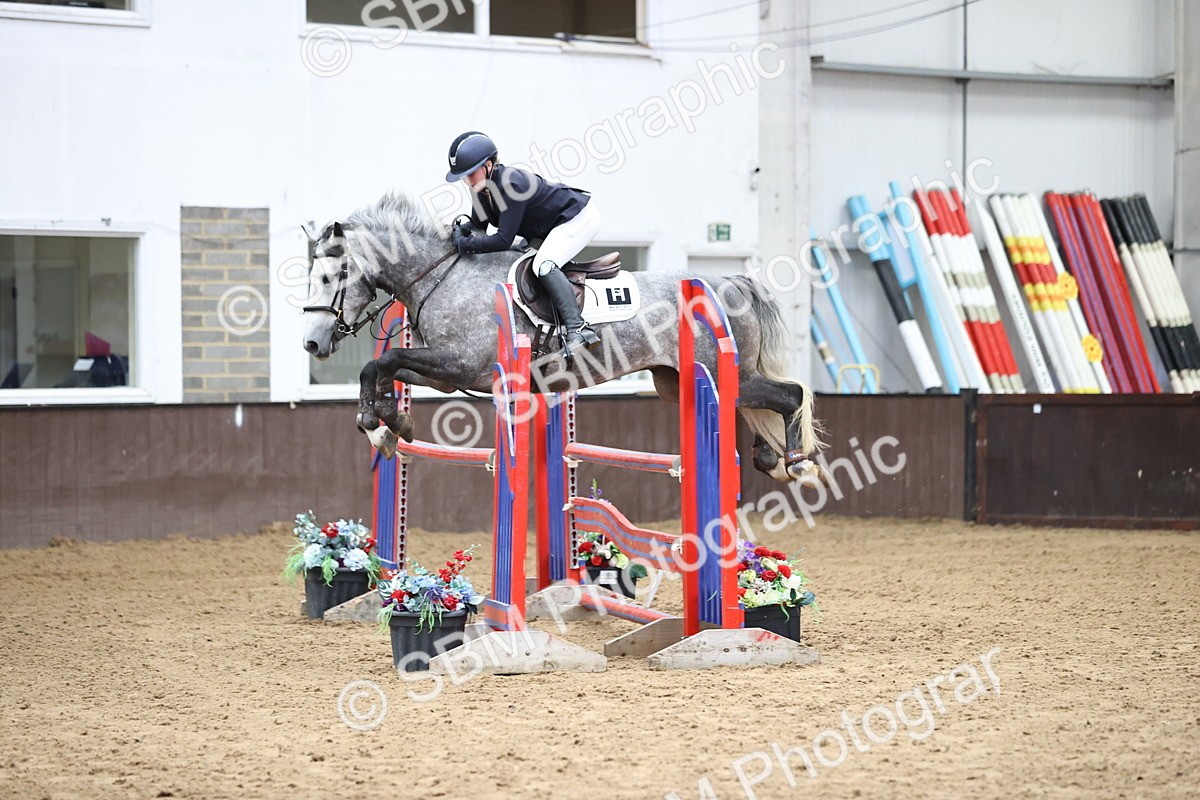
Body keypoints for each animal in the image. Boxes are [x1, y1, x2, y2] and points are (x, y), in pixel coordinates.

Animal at [301, 193, 824, 482]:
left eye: (332, 276)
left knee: (788, 394)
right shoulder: (446, 372)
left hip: (720, 372)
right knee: (755, 404)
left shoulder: (459, 363)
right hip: (677, 383)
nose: (313, 344)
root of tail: (730, 282)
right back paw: (771, 457)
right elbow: (381, 367)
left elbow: (385, 363)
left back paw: (796, 462)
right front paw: (386, 424)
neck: (442, 275)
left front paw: (381, 424)